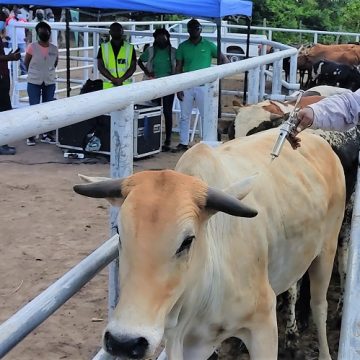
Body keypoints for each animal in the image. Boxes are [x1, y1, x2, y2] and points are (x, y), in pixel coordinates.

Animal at [74, 130, 346, 360]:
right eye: (119, 232)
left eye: (187, 241)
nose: (124, 341)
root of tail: (316, 138)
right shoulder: (183, 341)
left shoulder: (263, 324)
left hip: (328, 250)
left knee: (319, 306)